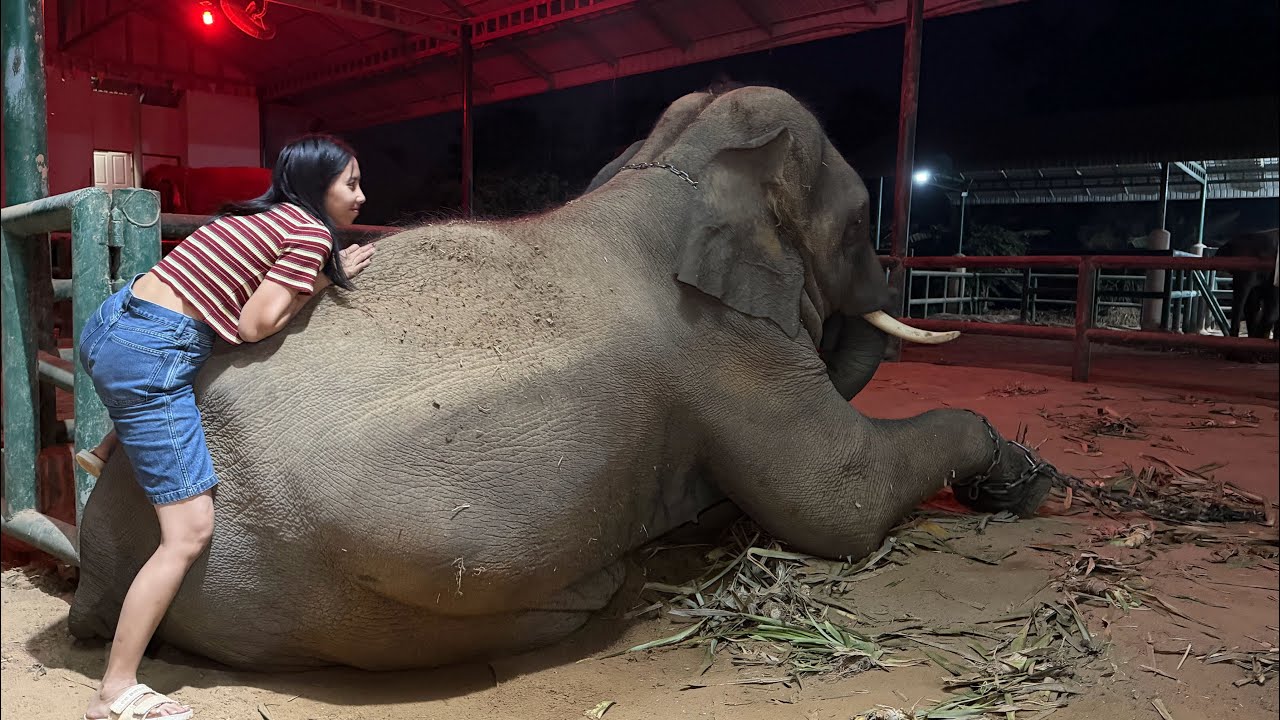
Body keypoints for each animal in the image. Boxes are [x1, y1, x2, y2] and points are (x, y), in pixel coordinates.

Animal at [69, 86, 1060, 671]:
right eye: (858, 223)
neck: (662, 169)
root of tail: (98, 562)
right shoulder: (723, 348)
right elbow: (836, 505)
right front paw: (1029, 480)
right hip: (336, 589)